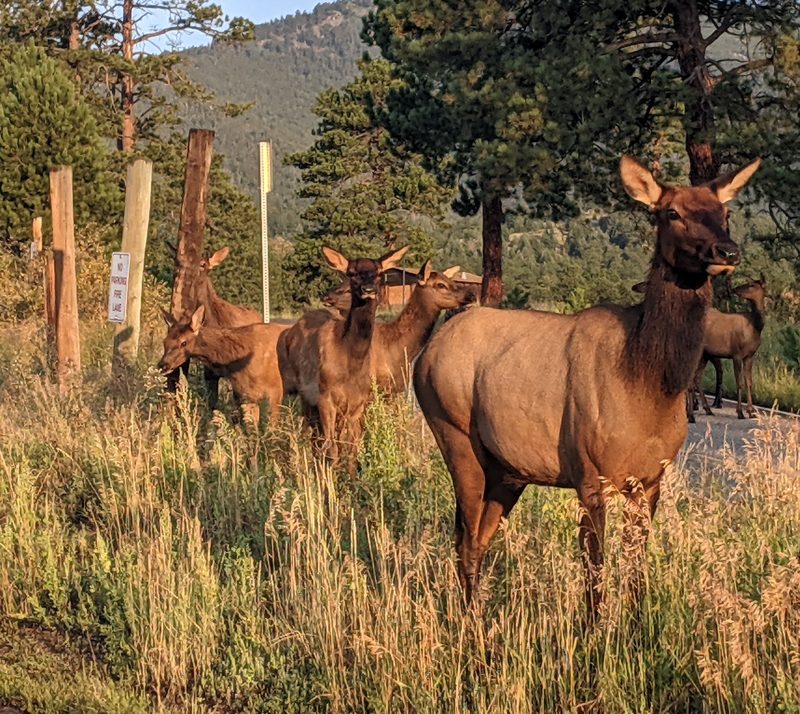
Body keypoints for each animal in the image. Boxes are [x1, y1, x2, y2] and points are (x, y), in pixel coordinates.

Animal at [158, 305, 290, 426]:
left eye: (183, 342)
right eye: (165, 341)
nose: (162, 365)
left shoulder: (276, 388)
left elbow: (271, 426)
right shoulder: (245, 393)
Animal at [278, 245, 409, 474]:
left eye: (378, 272)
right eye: (351, 273)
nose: (368, 289)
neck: (351, 365)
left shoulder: (359, 402)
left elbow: (352, 449)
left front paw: (351, 478)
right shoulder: (325, 397)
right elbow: (331, 448)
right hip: (305, 395)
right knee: (311, 434)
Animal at [691, 277, 766, 420]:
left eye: (752, 285)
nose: (735, 289)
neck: (756, 326)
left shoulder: (749, 356)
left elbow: (749, 382)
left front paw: (751, 411)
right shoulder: (736, 354)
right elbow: (739, 382)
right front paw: (740, 412)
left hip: (705, 355)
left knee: (696, 377)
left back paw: (707, 409)